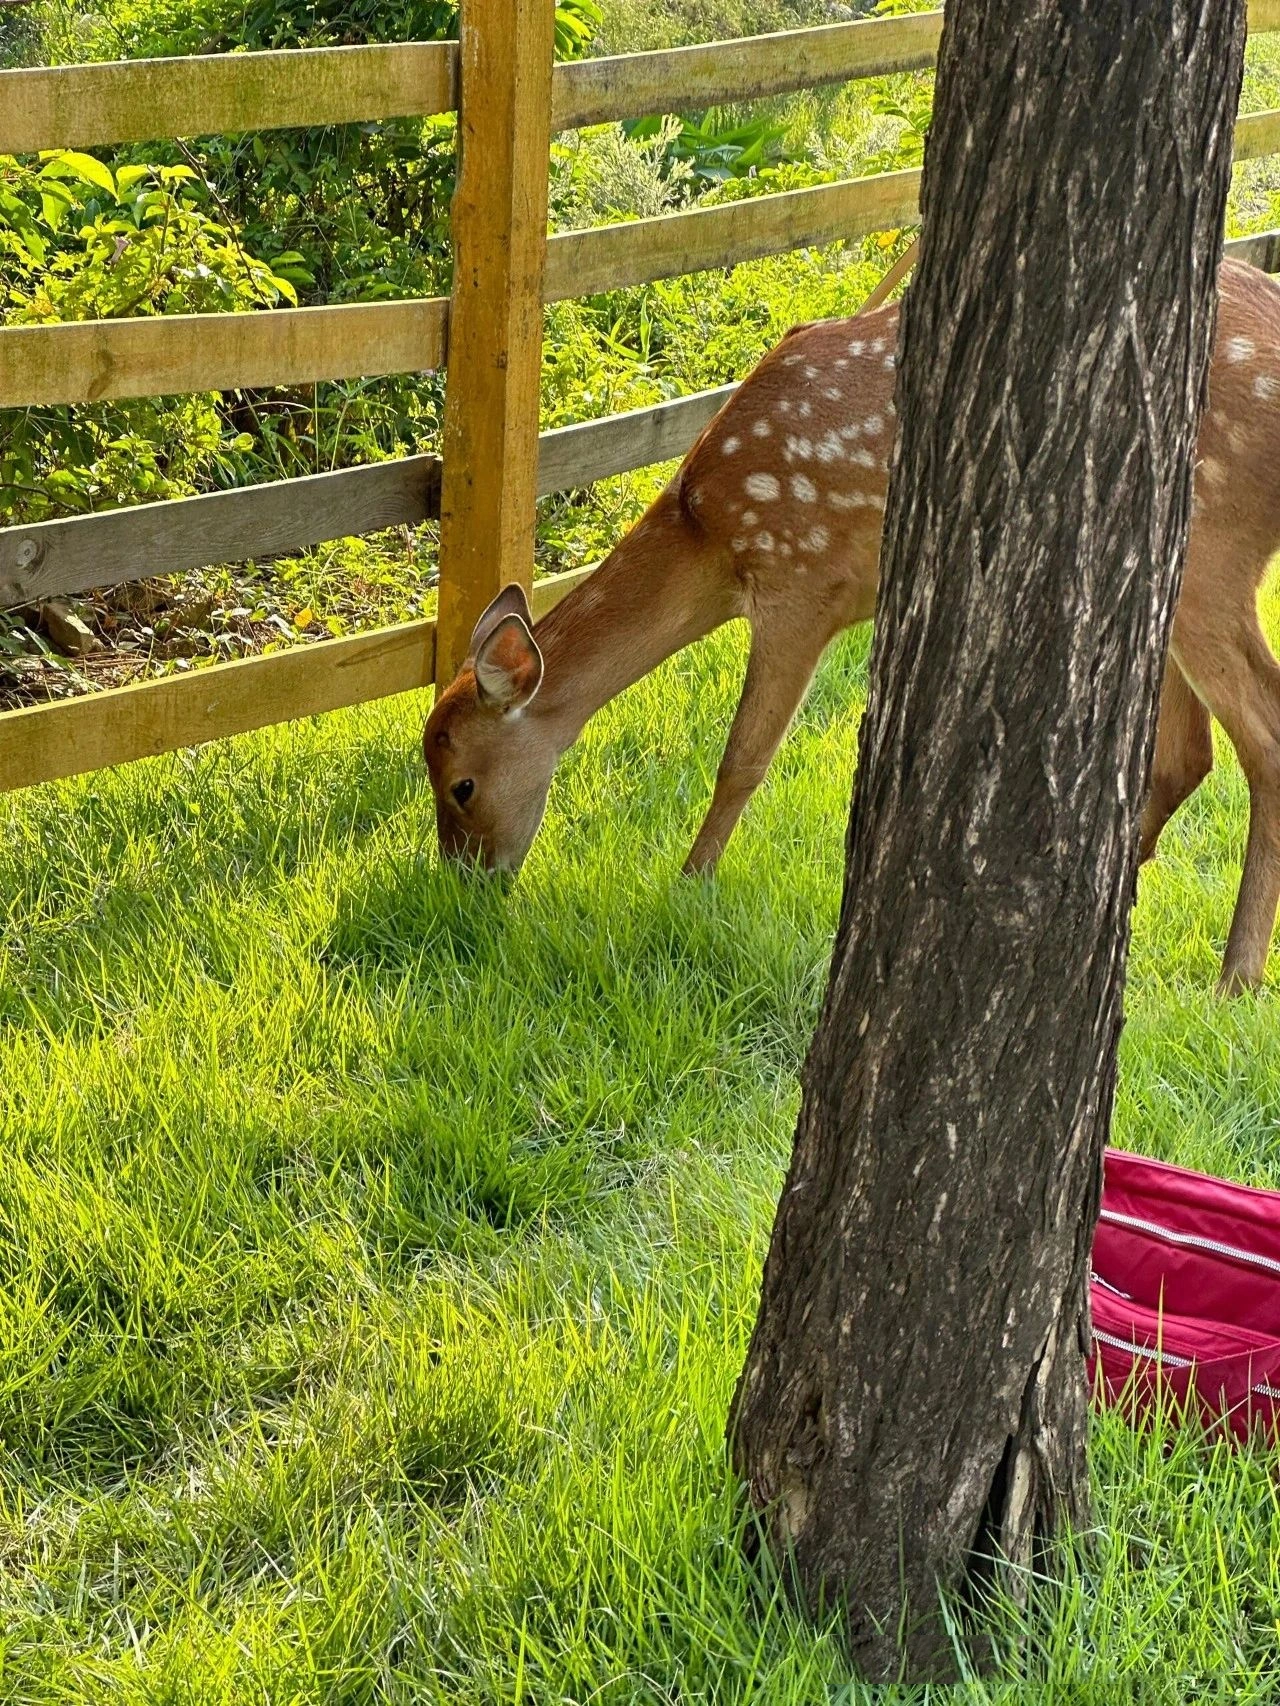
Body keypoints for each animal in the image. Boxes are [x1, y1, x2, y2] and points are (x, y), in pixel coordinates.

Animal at [428, 259, 1280, 996]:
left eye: (461, 784)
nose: (468, 885)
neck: (708, 534)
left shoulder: (801, 584)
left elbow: (743, 757)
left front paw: (691, 882)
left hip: (1213, 549)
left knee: (1262, 735)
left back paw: (1235, 977)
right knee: (1188, 753)